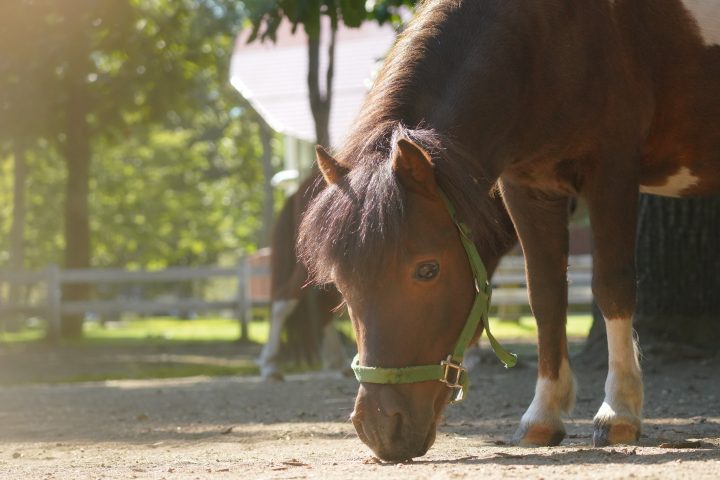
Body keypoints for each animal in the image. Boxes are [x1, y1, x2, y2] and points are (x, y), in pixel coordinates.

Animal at [297, 0, 720, 462]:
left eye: (428, 270)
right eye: (341, 282)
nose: (378, 426)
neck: (550, 37)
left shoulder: (612, 174)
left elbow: (612, 288)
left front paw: (619, 412)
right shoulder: (527, 188)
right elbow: (546, 297)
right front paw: (543, 416)